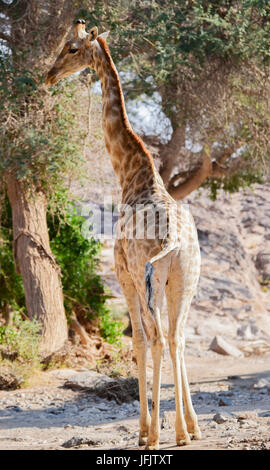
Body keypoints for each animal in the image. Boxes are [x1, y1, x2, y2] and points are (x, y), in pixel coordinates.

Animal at [46, 20, 201, 450]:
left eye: (71, 48)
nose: (48, 76)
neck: (131, 174)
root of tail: (174, 240)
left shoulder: (124, 276)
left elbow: (137, 343)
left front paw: (144, 429)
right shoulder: (158, 283)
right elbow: (169, 340)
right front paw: (186, 427)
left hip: (149, 279)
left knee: (158, 339)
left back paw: (157, 435)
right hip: (183, 280)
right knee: (178, 337)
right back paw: (185, 429)